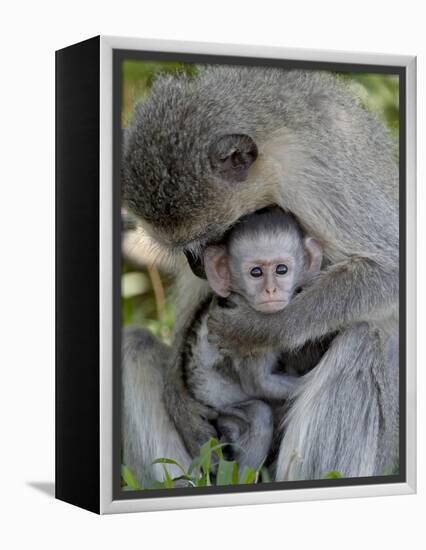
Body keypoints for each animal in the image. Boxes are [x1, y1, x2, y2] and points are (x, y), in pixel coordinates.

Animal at [178, 207, 322, 470]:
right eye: (255, 272)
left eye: (281, 270)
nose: (270, 290)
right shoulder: (249, 335)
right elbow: (259, 384)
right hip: (223, 411)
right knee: (258, 415)